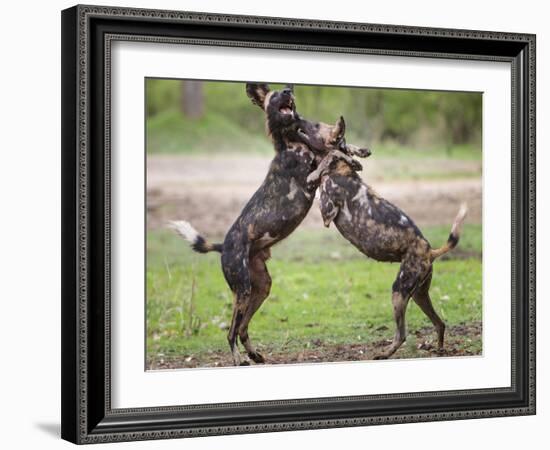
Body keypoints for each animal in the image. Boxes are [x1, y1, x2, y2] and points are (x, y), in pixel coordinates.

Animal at [170, 83, 374, 366]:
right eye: (276, 95)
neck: (293, 142)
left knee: (243, 328)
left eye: (285, 90)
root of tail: (224, 246)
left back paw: (255, 355)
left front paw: (358, 151)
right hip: (242, 290)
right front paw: (351, 157)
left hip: (262, 287)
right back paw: (239, 359)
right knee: (231, 331)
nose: (288, 89)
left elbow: (336, 147)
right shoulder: (311, 178)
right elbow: (332, 152)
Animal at [308, 115, 468, 358]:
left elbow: (330, 158)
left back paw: (384, 353)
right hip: (418, 295)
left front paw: (330, 162)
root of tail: (429, 251)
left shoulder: (326, 213)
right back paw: (439, 350)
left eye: (316, 127)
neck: (341, 171)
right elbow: (342, 155)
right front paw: (356, 154)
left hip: (398, 292)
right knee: (440, 323)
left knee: (402, 334)